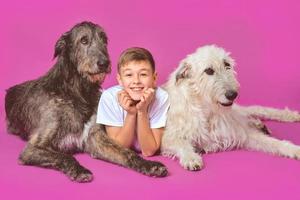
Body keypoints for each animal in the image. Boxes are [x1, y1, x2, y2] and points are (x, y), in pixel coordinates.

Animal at [4, 21, 168, 182]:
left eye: (104, 40)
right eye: (83, 40)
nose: (104, 63)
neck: (79, 92)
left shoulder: (95, 138)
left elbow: (126, 152)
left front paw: (149, 164)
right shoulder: (32, 148)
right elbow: (64, 156)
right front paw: (79, 170)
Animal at [162, 44, 300, 170]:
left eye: (227, 64)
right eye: (208, 70)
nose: (232, 94)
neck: (208, 110)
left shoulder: (241, 133)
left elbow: (271, 142)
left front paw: (293, 149)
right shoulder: (168, 137)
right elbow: (181, 143)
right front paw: (191, 158)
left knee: (255, 109)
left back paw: (286, 116)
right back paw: (258, 124)